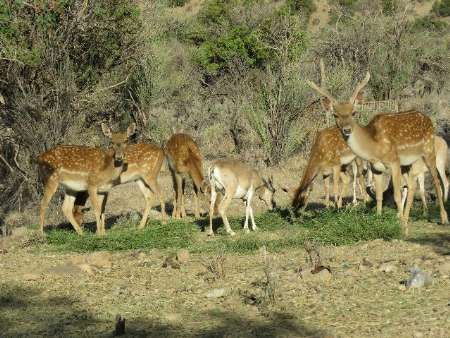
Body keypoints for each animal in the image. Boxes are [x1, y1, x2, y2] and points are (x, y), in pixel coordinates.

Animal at [308, 68, 448, 232]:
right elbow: (380, 195)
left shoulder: (394, 162)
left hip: (429, 151)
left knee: (437, 181)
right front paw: (380, 220)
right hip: (408, 163)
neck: (374, 148)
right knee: (412, 186)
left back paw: (443, 218)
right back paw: (408, 218)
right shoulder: (376, 168)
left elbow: (396, 195)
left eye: (354, 112)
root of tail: (429, 119)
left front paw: (401, 227)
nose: (347, 129)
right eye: (335, 115)